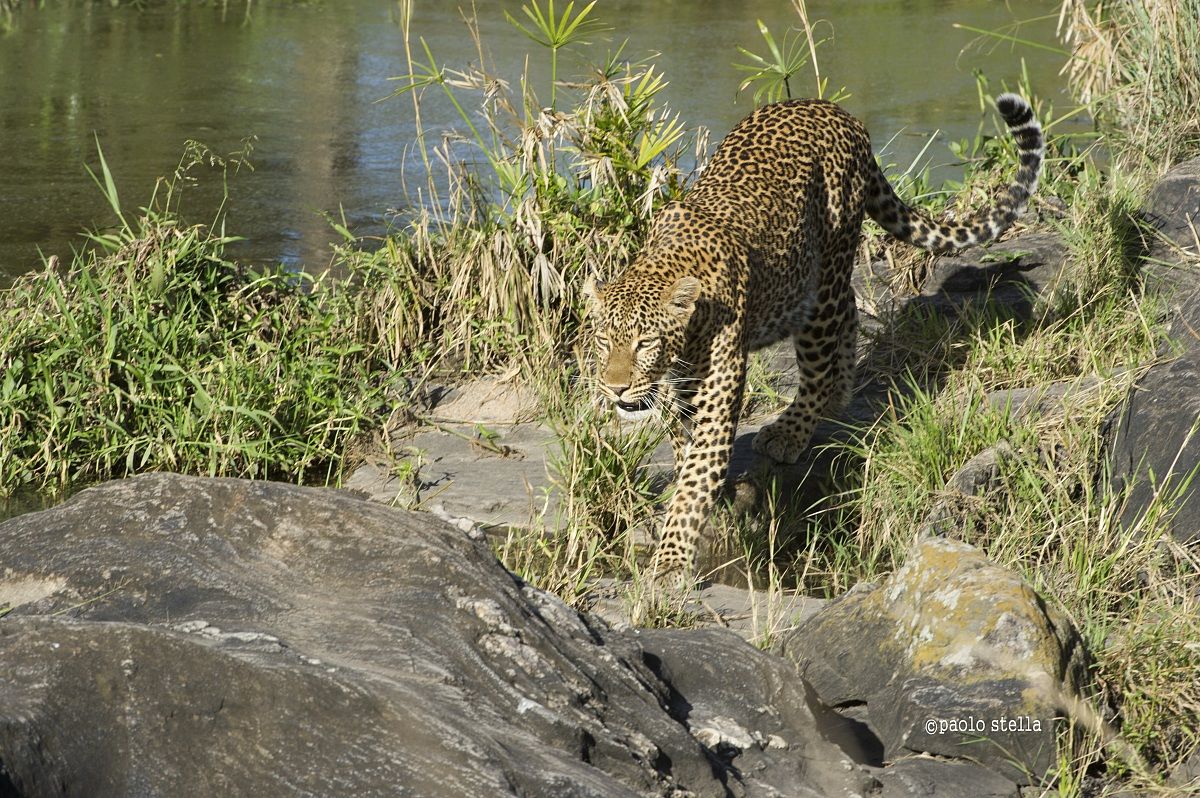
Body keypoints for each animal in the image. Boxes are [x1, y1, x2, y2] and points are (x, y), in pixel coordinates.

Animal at [583, 93, 1044, 578]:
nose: (615, 389)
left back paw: (790, 431)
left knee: (823, 357)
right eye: (603, 341)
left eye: (645, 343)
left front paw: (671, 558)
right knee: (849, 312)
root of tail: (838, 112)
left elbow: (696, 479)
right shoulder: (679, 388)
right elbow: (682, 445)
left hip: (822, 279)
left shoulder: (716, 390)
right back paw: (841, 390)